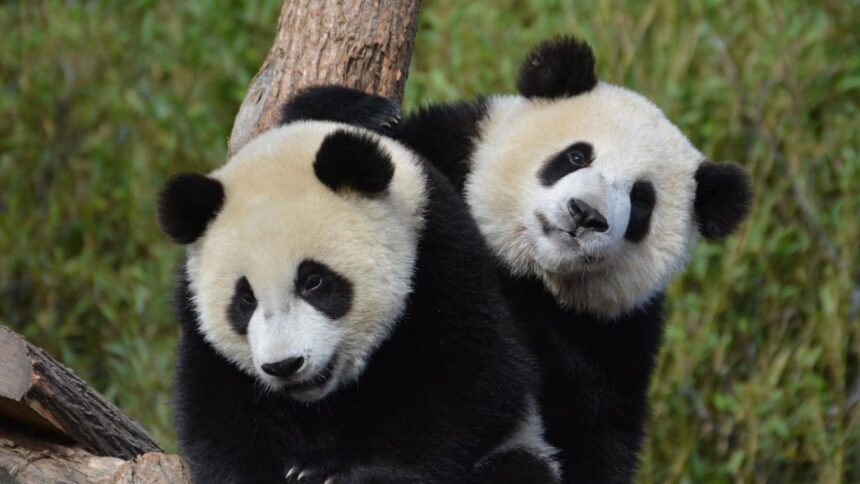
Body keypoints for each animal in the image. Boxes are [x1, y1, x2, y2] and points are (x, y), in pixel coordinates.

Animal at [158, 94, 561, 483]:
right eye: (245, 300)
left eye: (314, 281)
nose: (285, 365)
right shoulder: (195, 320)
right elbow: (217, 412)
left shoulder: (441, 253)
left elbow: (472, 376)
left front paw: (332, 470)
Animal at [384, 37, 753, 483]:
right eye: (577, 157)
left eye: (641, 199)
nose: (585, 214)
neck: (528, 269)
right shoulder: (446, 150)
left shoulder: (610, 341)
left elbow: (594, 434)